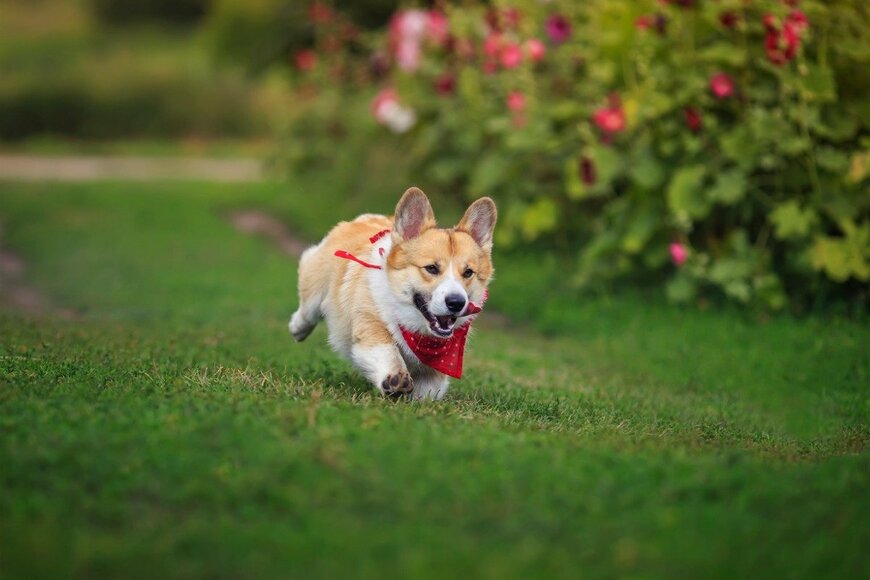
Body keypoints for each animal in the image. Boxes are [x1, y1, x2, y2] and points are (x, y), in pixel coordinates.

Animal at [292, 188, 498, 402]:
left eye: (468, 273)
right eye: (431, 268)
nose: (456, 302)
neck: (416, 330)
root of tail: (372, 217)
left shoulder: (435, 370)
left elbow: (429, 390)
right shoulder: (370, 324)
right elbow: (387, 350)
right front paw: (395, 378)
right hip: (315, 285)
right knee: (308, 309)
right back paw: (298, 328)